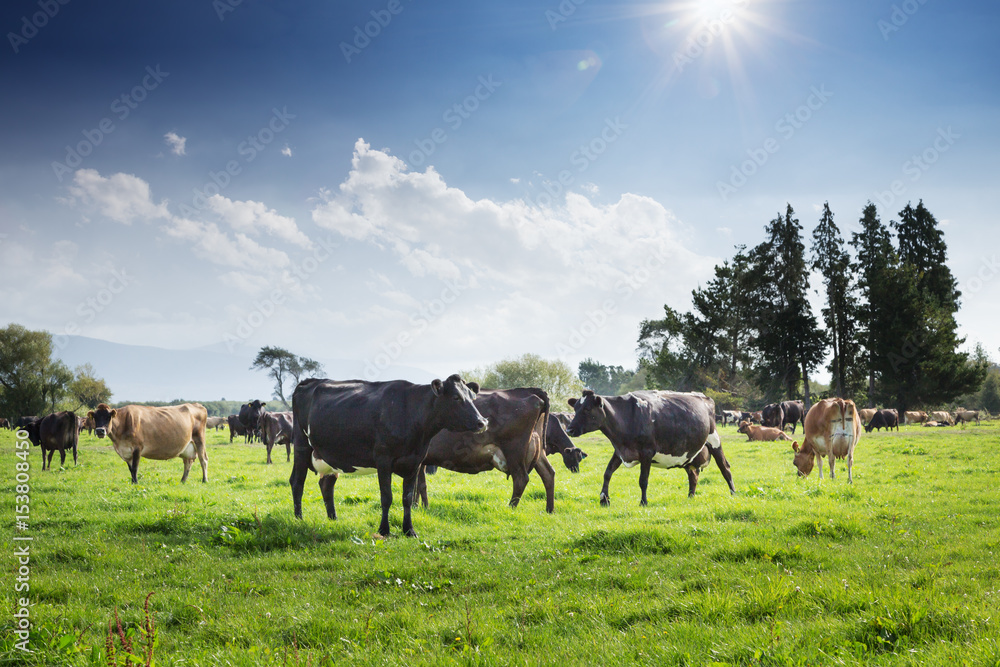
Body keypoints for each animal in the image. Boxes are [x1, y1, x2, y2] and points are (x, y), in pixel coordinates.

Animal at [290, 376, 488, 536]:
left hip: (329, 456)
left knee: (326, 485)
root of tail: (310, 381)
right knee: (297, 482)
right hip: (301, 446)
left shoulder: (415, 462)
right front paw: (384, 530)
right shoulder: (383, 460)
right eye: (456, 397)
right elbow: (386, 497)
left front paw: (409, 530)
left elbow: (407, 498)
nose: (482, 422)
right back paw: (299, 520)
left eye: (472, 396)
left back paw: (333, 519)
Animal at [416, 386, 556, 512]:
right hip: (538, 450)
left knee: (521, 478)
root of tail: (527, 390)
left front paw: (419, 507)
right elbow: (419, 483)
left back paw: (510, 508)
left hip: (515, 450)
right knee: (548, 473)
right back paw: (550, 510)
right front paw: (418, 506)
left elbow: (418, 484)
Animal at [568, 388, 740, 504]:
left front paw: (643, 502)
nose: (569, 429)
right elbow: (607, 473)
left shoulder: (647, 452)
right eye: (575, 408)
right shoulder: (620, 451)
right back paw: (690, 497)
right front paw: (604, 499)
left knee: (725, 467)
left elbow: (643, 480)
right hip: (690, 454)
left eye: (587, 409)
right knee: (693, 474)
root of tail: (703, 396)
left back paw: (733, 493)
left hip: (714, 439)